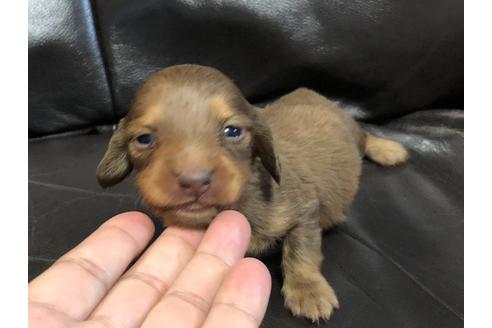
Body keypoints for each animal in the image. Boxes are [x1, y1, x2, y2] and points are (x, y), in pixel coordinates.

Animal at [96, 64, 408, 322]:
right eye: (144, 138)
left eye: (232, 131)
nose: (195, 182)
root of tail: (309, 91)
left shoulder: (305, 210)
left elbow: (301, 251)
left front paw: (308, 291)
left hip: (351, 130)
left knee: (365, 135)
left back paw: (388, 148)